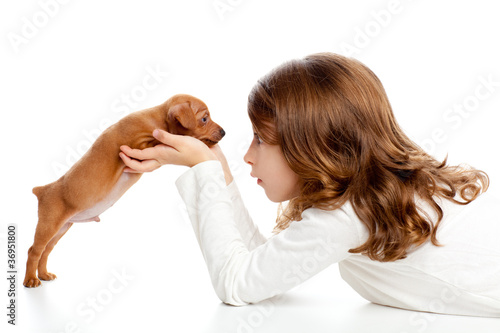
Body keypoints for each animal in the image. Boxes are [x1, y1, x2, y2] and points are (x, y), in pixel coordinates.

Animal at [24, 94, 224, 288]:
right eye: (204, 118)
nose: (224, 132)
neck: (158, 118)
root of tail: (42, 190)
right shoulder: (137, 145)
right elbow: (157, 140)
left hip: (61, 228)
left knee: (45, 251)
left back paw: (44, 274)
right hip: (49, 225)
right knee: (34, 251)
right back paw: (31, 280)